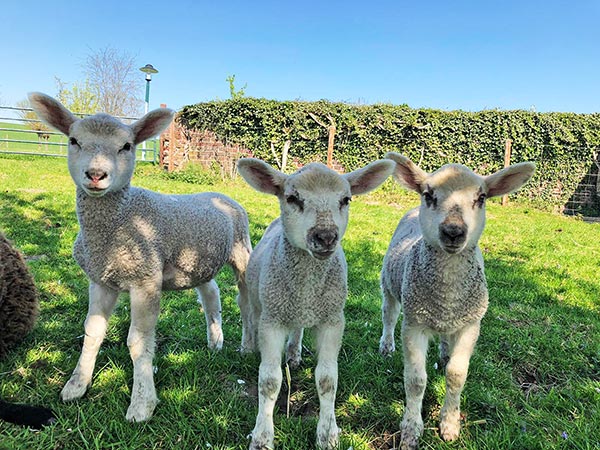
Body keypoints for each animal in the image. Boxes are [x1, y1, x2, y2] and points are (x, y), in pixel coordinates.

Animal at [29, 91, 253, 422]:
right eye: (74, 141)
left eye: (126, 146)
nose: (96, 175)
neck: (119, 220)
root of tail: (222, 195)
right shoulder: (101, 279)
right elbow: (92, 331)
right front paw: (76, 387)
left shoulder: (145, 279)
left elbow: (138, 342)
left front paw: (142, 404)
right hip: (200, 258)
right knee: (211, 293)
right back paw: (215, 341)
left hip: (242, 249)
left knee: (246, 300)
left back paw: (248, 346)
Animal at [237, 156, 396, 448]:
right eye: (292, 197)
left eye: (346, 199)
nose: (325, 236)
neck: (307, 287)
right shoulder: (272, 320)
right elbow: (270, 380)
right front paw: (262, 436)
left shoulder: (333, 320)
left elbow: (327, 379)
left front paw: (328, 433)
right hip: (260, 301)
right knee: (249, 318)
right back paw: (249, 348)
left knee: (298, 329)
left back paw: (294, 354)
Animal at [380, 153, 536, 448]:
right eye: (428, 195)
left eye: (481, 197)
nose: (453, 231)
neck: (447, 294)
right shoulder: (414, 324)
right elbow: (416, 380)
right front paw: (411, 429)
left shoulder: (471, 325)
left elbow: (456, 375)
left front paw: (450, 425)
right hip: (390, 284)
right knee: (389, 315)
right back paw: (386, 346)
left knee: (444, 337)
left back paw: (443, 354)